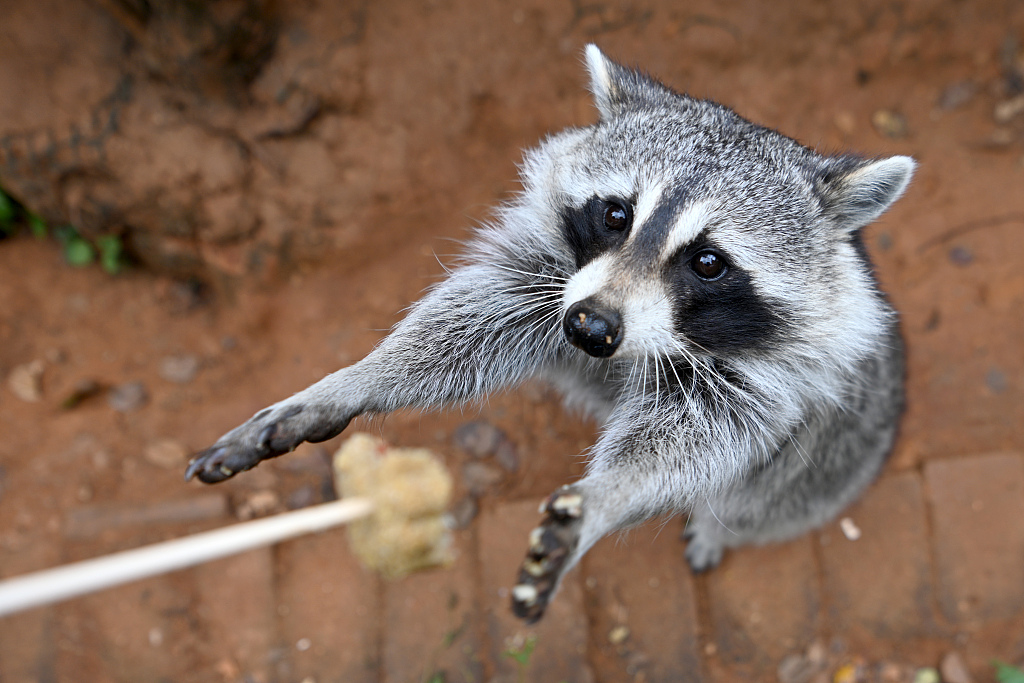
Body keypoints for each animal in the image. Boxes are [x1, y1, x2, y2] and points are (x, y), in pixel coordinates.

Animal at [188, 45, 917, 622]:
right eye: (616, 214)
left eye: (709, 261)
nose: (591, 328)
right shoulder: (547, 276)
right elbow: (474, 323)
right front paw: (354, 381)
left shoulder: (769, 376)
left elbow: (690, 444)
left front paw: (604, 500)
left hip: (840, 452)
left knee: (760, 500)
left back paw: (720, 525)